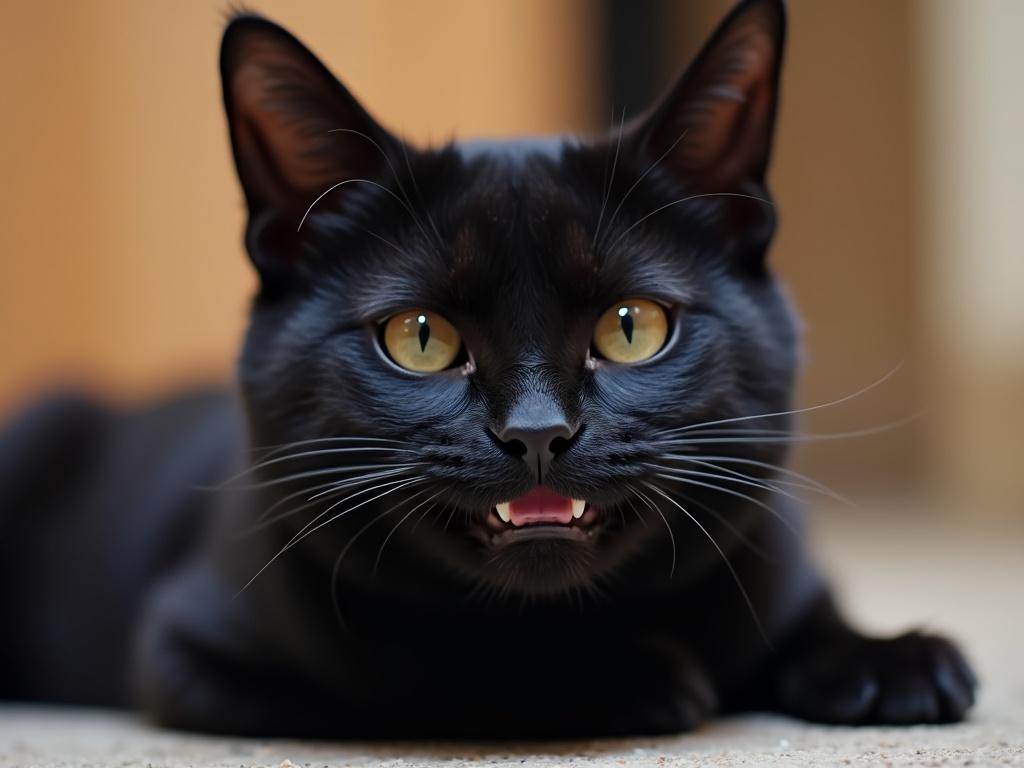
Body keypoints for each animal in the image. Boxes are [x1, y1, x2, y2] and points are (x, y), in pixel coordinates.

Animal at [2, 0, 974, 737]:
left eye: (633, 327)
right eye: (418, 338)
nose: (538, 432)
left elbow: (806, 619)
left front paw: (891, 660)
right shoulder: (189, 652)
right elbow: (423, 664)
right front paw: (622, 676)